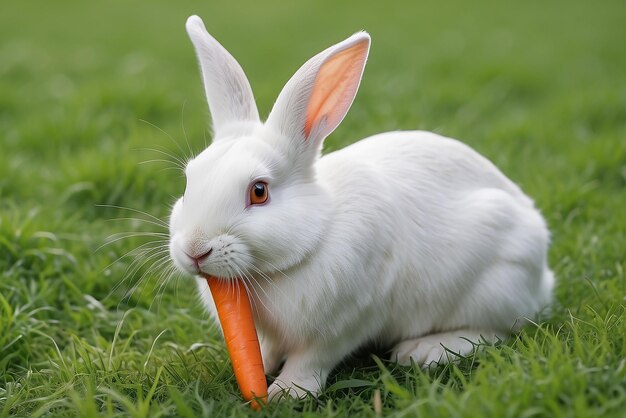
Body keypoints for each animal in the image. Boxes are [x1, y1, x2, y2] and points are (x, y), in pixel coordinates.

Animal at [168, 16, 552, 400]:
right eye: (187, 183)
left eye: (259, 192)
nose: (195, 250)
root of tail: (542, 279)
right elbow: (267, 349)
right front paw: (259, 370)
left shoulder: (343, 324)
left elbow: (310, 360)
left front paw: (286, 393)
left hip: (496, 284)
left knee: (497, 330)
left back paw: (423, 350)